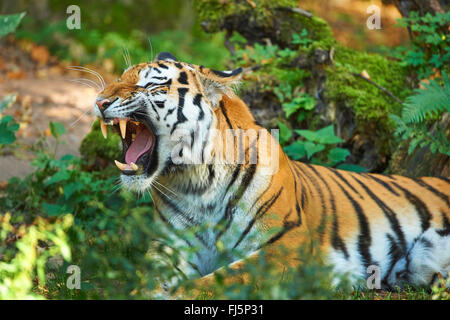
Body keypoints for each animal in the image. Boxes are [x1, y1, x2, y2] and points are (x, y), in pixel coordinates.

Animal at [93, 52, 448, 296]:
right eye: (120, 76)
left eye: (151, 83)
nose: (99, 101)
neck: (196, 185)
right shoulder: (171, 248)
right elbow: (146, 283)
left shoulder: (287, 247)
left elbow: (218, 282)